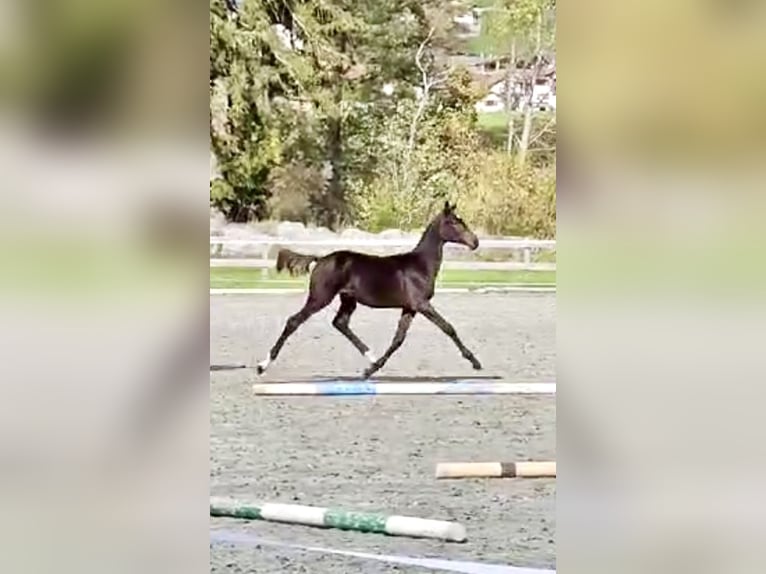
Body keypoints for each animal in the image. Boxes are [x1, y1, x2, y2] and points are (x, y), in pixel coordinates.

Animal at [258, 204, 486, 382]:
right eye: (454, 222)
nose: (475, 242)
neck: (420, 266)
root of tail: (320, 258)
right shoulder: (422, 304)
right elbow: (448, 328)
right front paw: (475, 362)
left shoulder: (409, 308)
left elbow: (398, 340)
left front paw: (371, 370)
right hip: (320, 298)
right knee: (294, 321)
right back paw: (262, 365)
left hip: (348, 300)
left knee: (340, 323)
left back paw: (372, 357)